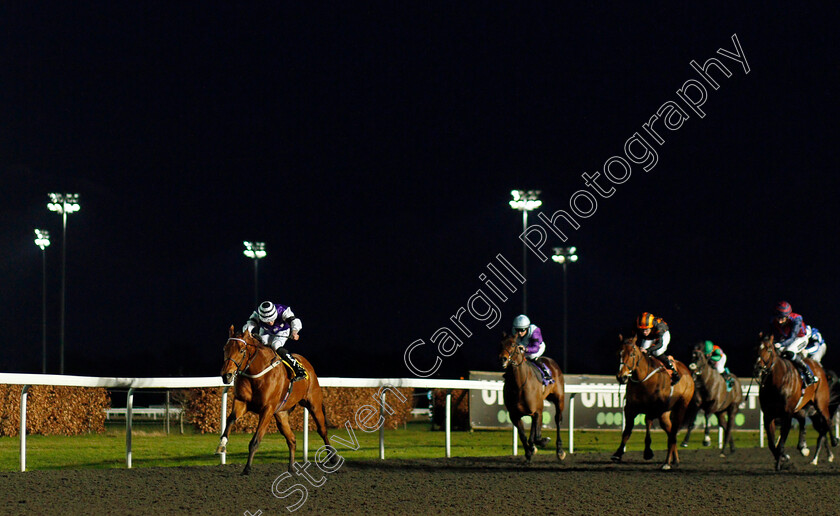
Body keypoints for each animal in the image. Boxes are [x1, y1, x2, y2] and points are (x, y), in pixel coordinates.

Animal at [215, 328, 336, 474]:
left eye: (241, 350)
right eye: (225, 348)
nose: (226, 375)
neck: (256, 374)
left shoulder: (267, 409)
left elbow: (255, 440)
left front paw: (247, 468)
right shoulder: (241, 402)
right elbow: (230, 419)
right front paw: (222, 444)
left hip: (314, 404)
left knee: (322, 430)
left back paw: (333, 458)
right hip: (281, 414)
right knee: (292, 439)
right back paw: (291, 468)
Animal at [502, 334, 568, 464]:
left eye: (512, 344)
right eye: (500, 344)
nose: (503, 358)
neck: (519, 385)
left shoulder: (537, 411)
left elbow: (537, 437)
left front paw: (544, 441)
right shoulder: (514, 415)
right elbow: (524, 436)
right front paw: (528, 454)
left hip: (559, 399)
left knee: (557, 420)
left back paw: (560, 451)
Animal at [612, 332, 692, 470]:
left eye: (632, 354)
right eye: (618, 354)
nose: (621, 377)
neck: (643, 379)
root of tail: (688, 372)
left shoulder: (655, 409)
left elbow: (647, 422)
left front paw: (648, 452)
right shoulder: (630, 408)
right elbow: (627, 431)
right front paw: (618, 453)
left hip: (681, 407)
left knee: (673, 434)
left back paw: (666, 463)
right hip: (665, 415)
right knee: (671, 431)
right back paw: (674, 459)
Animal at [756, 332, 832, 470]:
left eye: (769, 349)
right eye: (755, 349)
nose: (757, 368)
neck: (776, 382)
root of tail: (817, 366)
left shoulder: (787, 414)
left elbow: (781, 442)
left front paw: (779, 463)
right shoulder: (768, 415)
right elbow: (771, 443)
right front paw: (783, 458)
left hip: (821, 404)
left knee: (827, 421)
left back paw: (833, 443)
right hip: (801, 408)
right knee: (803, 421)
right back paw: (803, 448)